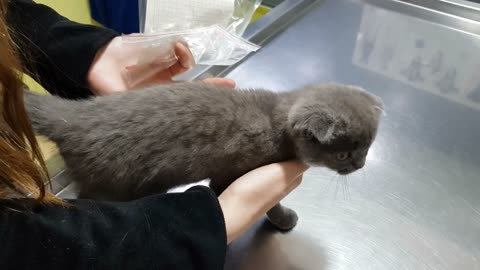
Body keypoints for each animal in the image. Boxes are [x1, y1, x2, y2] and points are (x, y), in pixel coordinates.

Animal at [24, 81, 384, 230]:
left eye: (367, 147)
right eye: (343, 155)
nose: (360, 164)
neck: (274, 119)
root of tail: (74, 118)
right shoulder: (238, 169)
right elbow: (254, 198)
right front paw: (284, 219)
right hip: (111, 184)